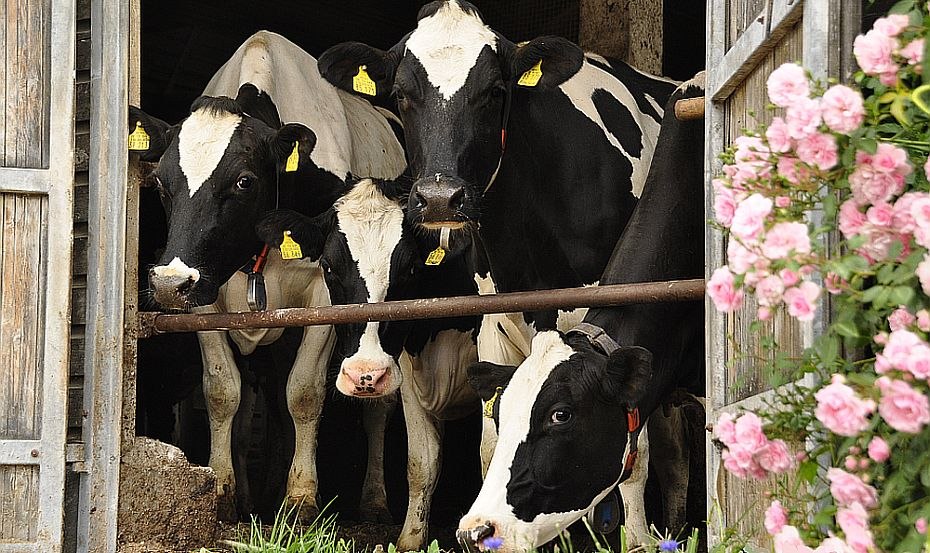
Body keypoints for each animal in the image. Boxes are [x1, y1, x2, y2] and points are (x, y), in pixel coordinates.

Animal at [129, 31, 404, 520]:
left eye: (243, 181)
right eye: (160, 182)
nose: (168, 283)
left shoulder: (325, 294)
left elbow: (305, 394)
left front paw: (300, 499)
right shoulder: (206, 297)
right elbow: (223, 392)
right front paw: (223, 491)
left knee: (374, 409)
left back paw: (372, 502)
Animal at [258, 180, 482, 548]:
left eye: (410, 269)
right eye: (328, 267)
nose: (365, 374)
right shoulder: (410, 373)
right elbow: (422, 459)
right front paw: (410, 541)